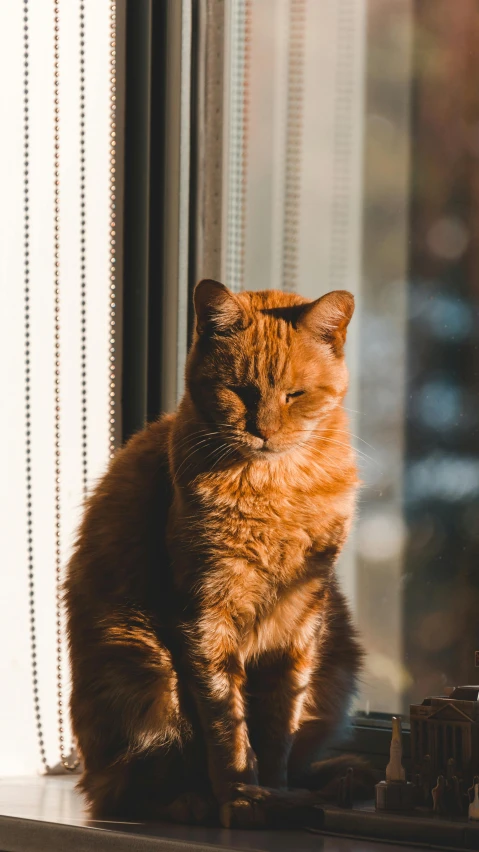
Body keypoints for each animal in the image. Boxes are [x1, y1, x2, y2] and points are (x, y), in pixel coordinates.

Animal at [64, 282, 372, 828]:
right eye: (241, 391)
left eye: (295, 395)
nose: (263, 431)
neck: (276, 487)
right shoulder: (206, 615)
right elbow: (228, 727)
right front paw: (243, 800)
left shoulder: (300, 620)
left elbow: (279, 729)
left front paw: (273, 791)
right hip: (143, 668)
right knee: (125, 790)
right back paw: (193, 803)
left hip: (336, 661)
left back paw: (333, 783)